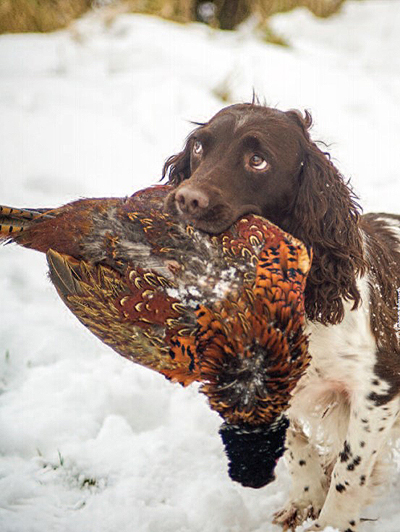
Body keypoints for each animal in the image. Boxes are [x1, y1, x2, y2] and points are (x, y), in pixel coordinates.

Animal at [162, 104, 400, 532]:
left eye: (258, 160)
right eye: (200, 147)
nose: (186, 199)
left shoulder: (379, 388)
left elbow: (349, 470)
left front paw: (331, 524)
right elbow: (295, 444)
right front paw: (304, 501)